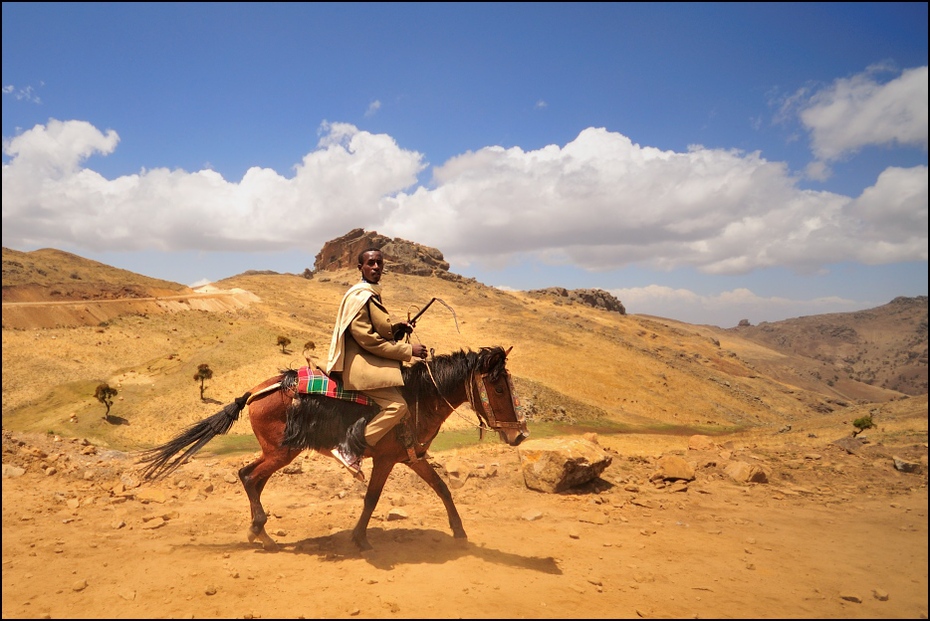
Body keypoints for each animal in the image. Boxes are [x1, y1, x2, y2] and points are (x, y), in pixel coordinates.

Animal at [138, 344, 528, 552]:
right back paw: (261, 532)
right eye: (498, 388)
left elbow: (443, 488)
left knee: (251, 477)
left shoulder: (410, 456)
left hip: (275, 451)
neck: (419, 396)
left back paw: (259, 531)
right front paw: (359, 539)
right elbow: (371, 498)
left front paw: (459, 533)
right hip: (282, 452)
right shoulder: (386, 459)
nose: (519, 436)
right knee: (248, 477)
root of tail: (255, 391)